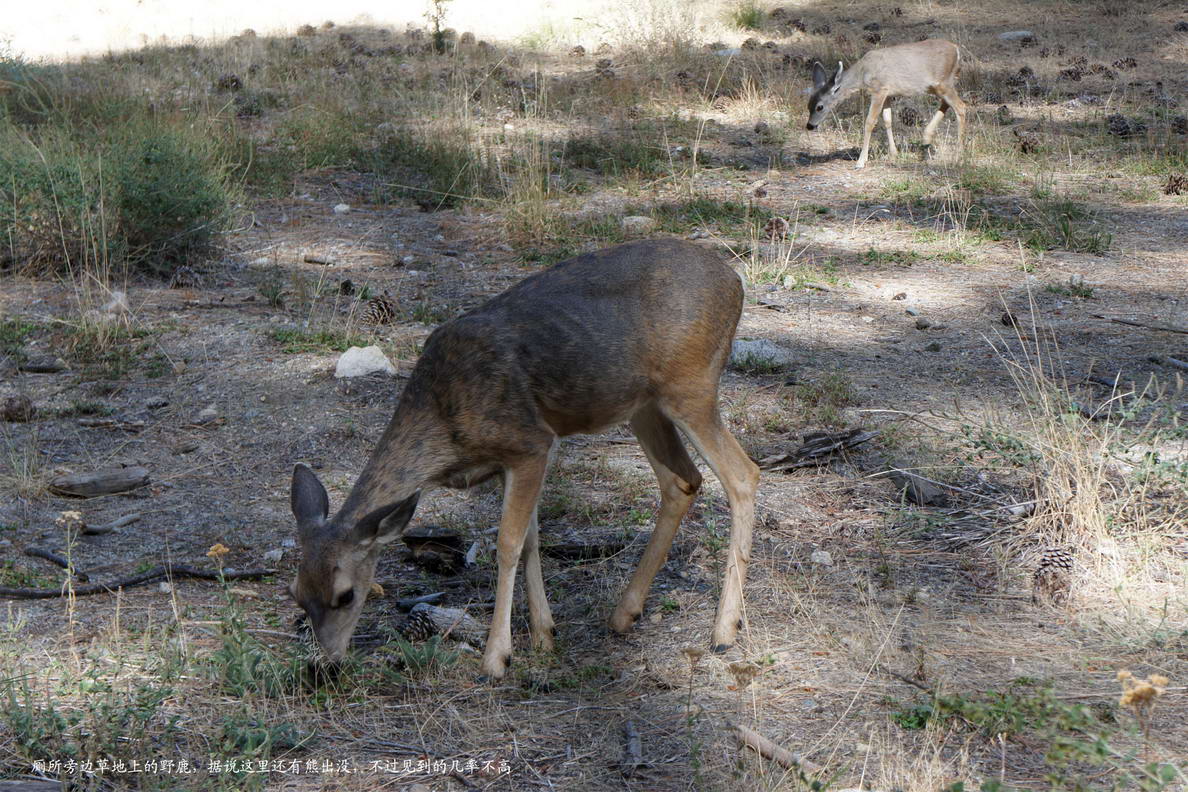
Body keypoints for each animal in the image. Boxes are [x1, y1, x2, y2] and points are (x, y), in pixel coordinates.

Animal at [289, 238, 760, 679]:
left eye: (346, 594)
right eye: (297, 593)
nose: (322, 666)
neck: (445, 416)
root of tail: (735, 282)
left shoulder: (530, 443)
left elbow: (508, 543)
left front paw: (497, 656)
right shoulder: (508, 464)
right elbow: (532, 538)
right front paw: (544, 635)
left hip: (691, 385)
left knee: (743, 474)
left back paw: (724, 630)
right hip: (643, 405)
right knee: (681, 481)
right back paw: (625, 613)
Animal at [803, 38, 969, 168]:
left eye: (820, 107)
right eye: (808, 105)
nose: (810, 126)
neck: (863, 73)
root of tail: (957, 50)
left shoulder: (879, 89)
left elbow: (870, 122)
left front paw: (861, 161)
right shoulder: (888, 93)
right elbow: (888, 120)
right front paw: (893, 153)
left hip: (943, 82)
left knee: (961, 106)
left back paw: (959, 156)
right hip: (936, 86)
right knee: (948, 104)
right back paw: (927, 138)